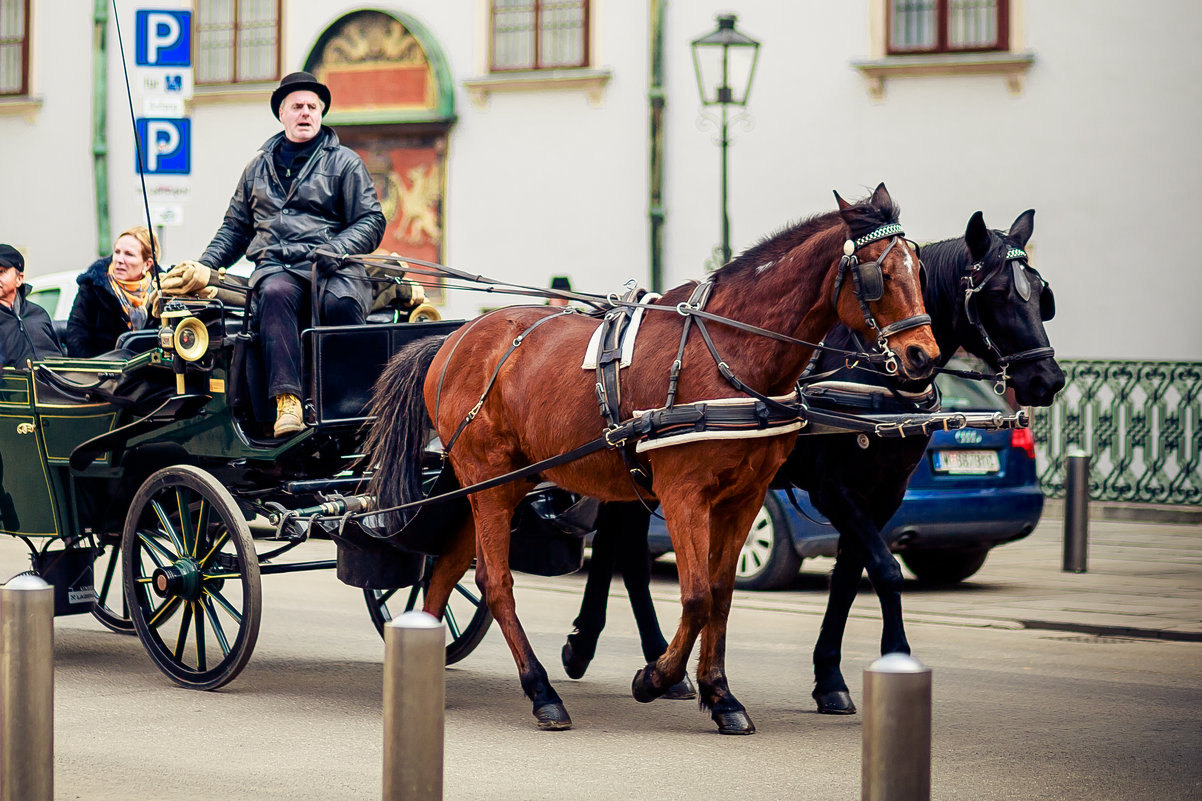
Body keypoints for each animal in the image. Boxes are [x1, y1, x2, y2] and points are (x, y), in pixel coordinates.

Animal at [363, 184, 937, 731]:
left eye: (919, 268)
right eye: (880, 275)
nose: (923, 357)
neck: (728, 351)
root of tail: (453, 339)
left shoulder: (745, 498)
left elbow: (721, 594)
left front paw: (720, 695)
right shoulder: (685, 494)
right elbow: (697, 595)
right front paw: (656, 677)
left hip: (496, 484)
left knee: (445, 569)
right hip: (491, 481)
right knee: (494, 583)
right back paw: (543, 692)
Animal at [557, 210, 1067, 712]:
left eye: (1041, 295)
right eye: (998, 294)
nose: (1048, 379)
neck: (872, 376)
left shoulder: (884, 494)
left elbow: (849, 577)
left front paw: (830, 678)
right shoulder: (833, 491)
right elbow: (886, 570)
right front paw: (892, 657)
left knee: (618, 546)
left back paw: (606, 648)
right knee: (625, 551)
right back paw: (611, 651)